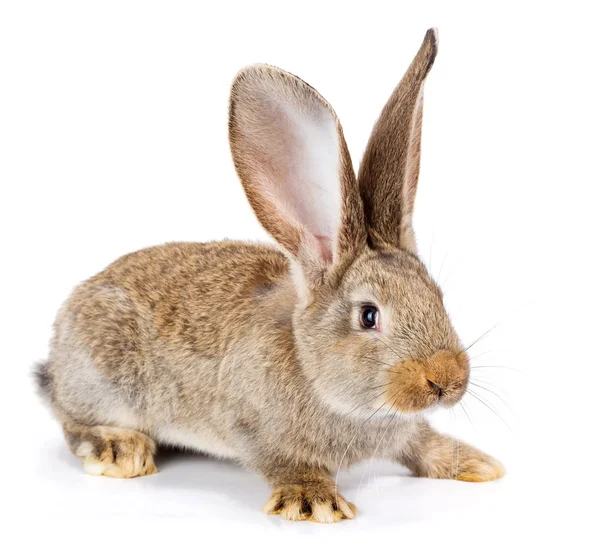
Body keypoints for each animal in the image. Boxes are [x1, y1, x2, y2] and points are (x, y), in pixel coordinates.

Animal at [35, 29, 504, 520]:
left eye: (438, 296)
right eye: (369, 316)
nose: (446, 379)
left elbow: (420, 443)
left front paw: (475, 463)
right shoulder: (251, 425)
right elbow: (282, 461)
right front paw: (314, 501)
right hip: (104, 380)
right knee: (72, 421)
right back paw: (120, 450)